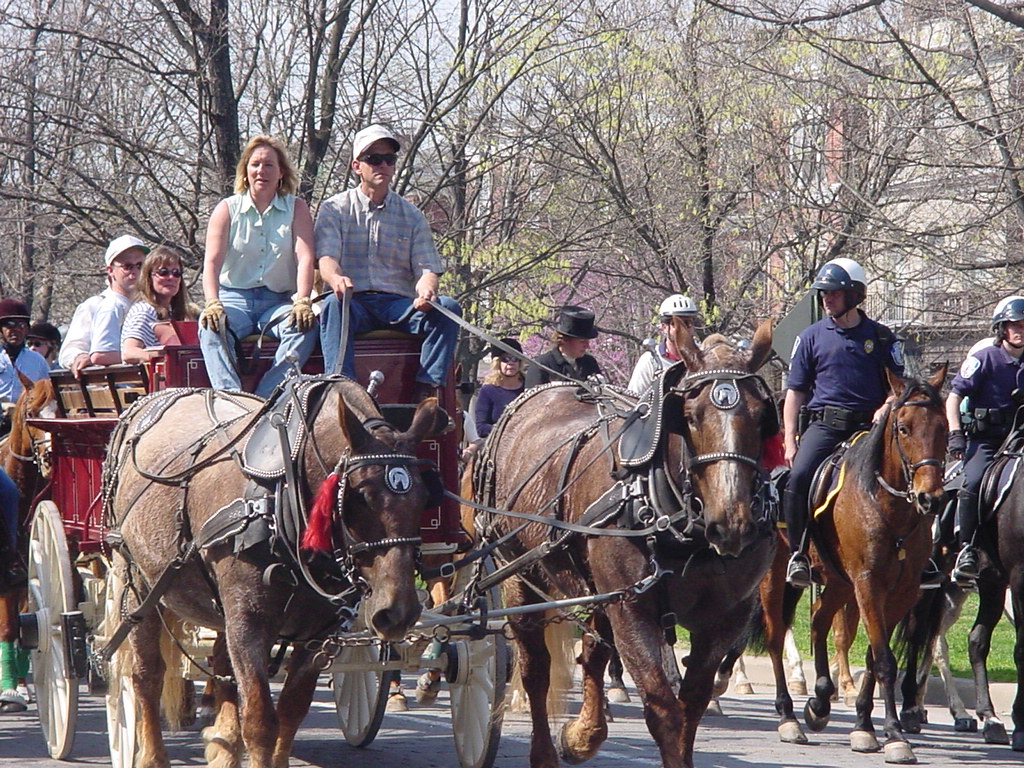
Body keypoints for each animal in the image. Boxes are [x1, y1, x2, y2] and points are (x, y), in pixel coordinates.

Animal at [103, 376, 442, 768]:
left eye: (425, 497)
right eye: (360, 496)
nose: (398, 613)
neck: (282, 496)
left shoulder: (318, 634)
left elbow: (292, 711)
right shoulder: (249, 623)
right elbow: (261, 722)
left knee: (222, 669)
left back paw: (223, 742)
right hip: (137, 584)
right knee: (147, 675)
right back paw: (153, 754)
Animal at [472, 317, 778, 768]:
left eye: (760, 416)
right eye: (691, 416)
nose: (732, 523)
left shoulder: (726, 617)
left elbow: (692, 704)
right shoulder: (632, 608)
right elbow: (664, 709)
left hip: (597, 588)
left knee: (592, 653)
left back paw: (584, 734)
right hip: (521, 576)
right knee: (535, 669)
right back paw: (545, 749)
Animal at [757, 366, 947, 763]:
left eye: (943, 426)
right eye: (903, 427)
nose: (931, 498)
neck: (889, 508)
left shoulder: (901, 592)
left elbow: (876, 657)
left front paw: (864, 725)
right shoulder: (868, 584)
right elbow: (885, 660)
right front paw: (893, 735)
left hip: (838, 581)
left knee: (818, 619)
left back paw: (820, 701)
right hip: (775, 577)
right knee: (775, 635)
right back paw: (788, 717)